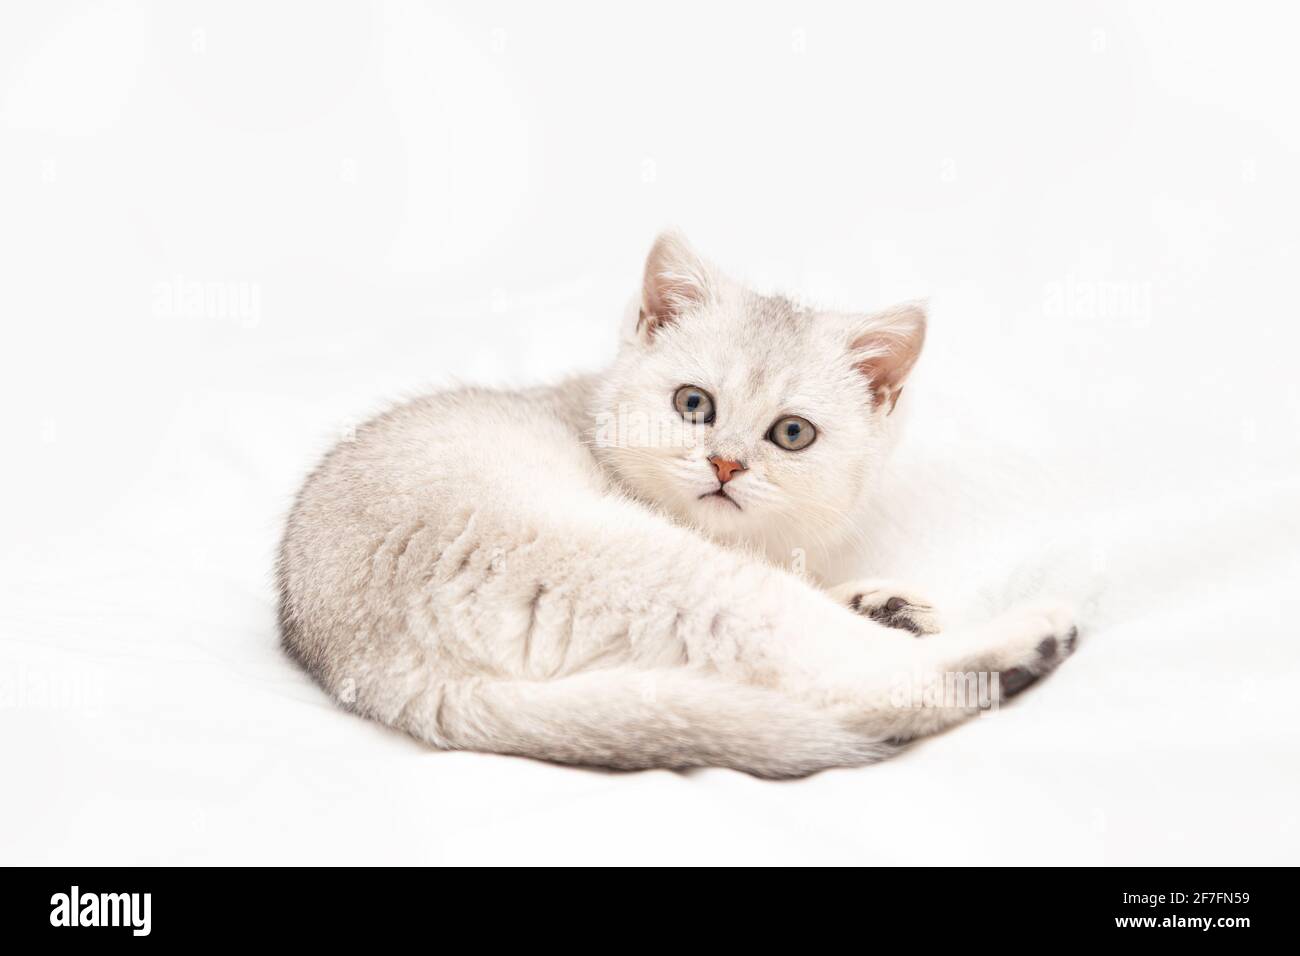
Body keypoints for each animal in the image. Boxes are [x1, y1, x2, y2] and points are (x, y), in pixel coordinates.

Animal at [276, 231, 1076, 780]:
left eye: (792, 433)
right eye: (694, 404)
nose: (725, 463)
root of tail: (386, 671)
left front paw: (884, 601)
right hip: (662, 572)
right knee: (841, 680)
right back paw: (1023, 643)